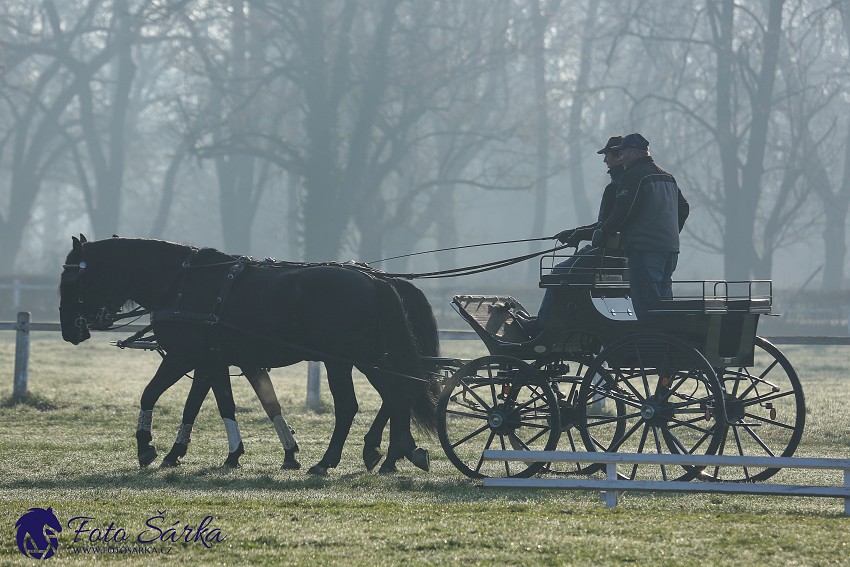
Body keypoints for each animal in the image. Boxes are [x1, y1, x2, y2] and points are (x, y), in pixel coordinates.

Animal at [59, 237, 438, 478]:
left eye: (70, 280)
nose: (69, 331)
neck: (183, 283)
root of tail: (377, 282)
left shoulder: (182, 357)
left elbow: (150, 394)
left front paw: (146, 448)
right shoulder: (210, 361)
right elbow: (211, 405)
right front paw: (205, 454)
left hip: (342, 360)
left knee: (354, 405)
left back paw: (331, 461)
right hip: (369, 357)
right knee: (396, 396)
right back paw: (395, 453)